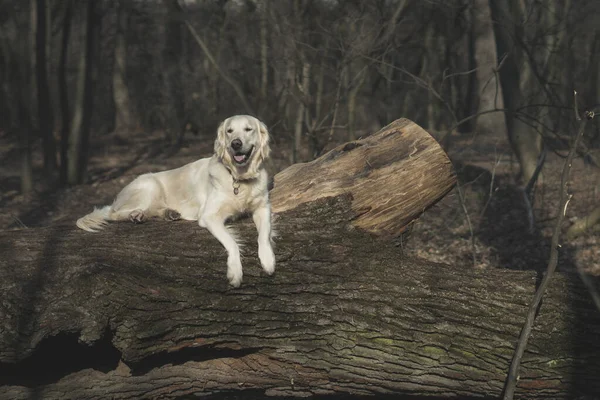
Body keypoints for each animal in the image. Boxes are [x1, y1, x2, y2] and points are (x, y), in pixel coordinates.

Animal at [76, 114, 276, 286]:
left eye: (248, 129)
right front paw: (235, 272)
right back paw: (136, 214)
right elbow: (231, 242)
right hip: (150, 184)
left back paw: (167, 213)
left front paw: (267, 259)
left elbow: (264, 235)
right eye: (230, 131)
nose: (236, 143)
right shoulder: (209, 216)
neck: (239, 178)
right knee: (115, 214)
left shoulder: (263, 208)